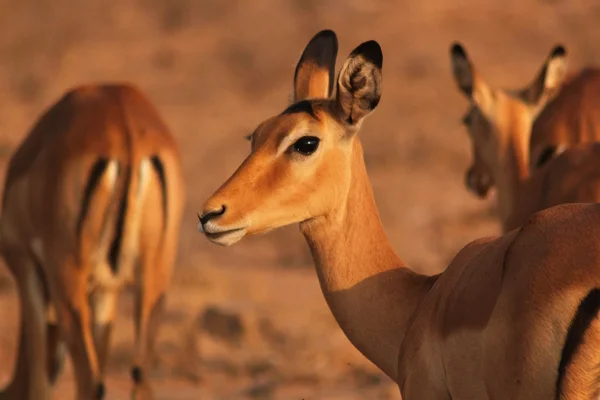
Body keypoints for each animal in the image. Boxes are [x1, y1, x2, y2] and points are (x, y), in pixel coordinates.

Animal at [0, 83, 185, 398]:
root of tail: (125, 127)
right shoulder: (104, 290)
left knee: (92, 381)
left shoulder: (27, 269)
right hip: (153, 279)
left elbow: (38, 382)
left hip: (67, 277)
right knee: (140, 375)